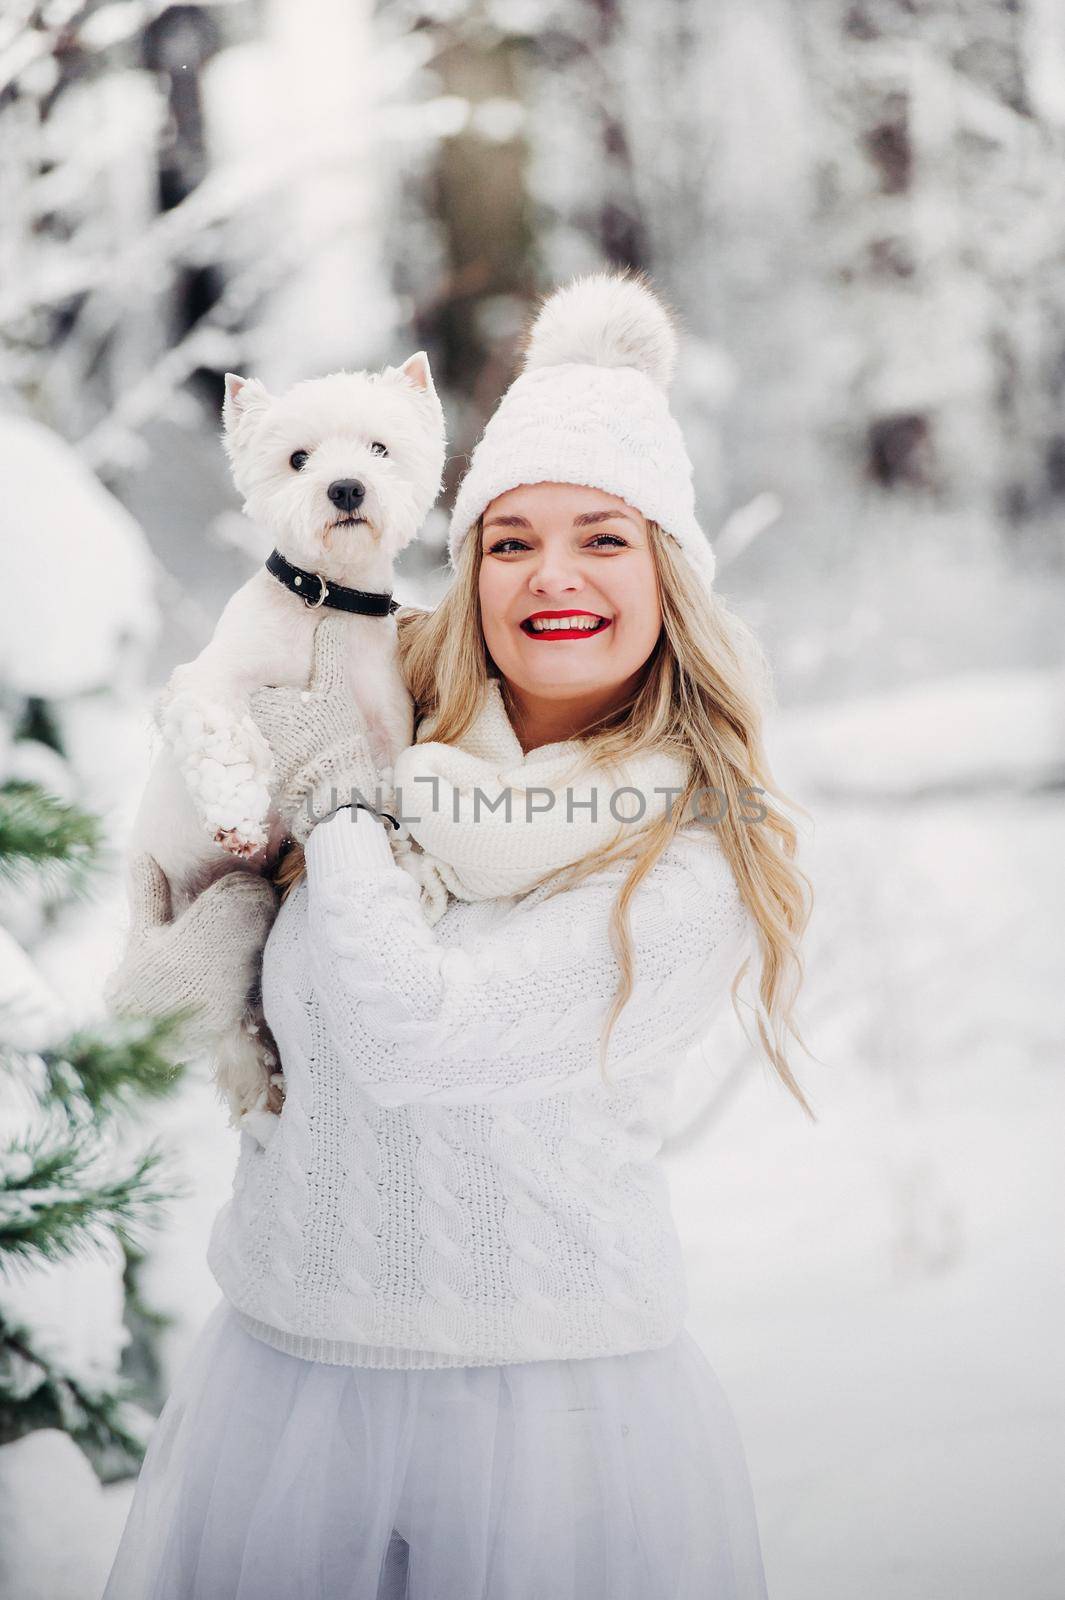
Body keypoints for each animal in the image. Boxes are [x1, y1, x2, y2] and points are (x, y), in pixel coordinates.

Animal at [127, 355, 444, 1139]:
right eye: (298, 458)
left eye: (379, 449)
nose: (345, 487)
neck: (325, 606)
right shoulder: (206, 684)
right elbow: (225, 733)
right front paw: (240, 820)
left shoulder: (383, 735)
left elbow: (378, 805)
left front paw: (410, 871)